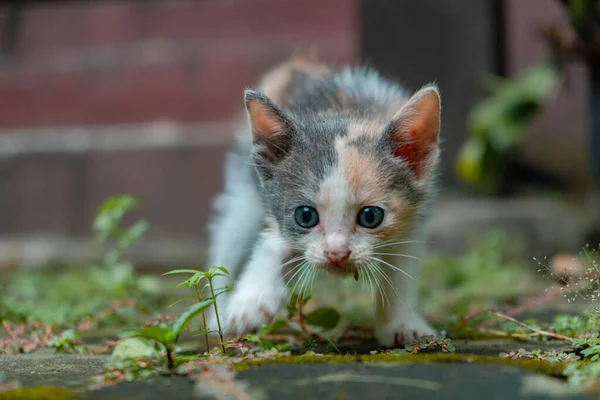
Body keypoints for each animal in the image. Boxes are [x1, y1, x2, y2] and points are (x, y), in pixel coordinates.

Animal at [206, 53, 440, 346]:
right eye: (305, 216)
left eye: (370, 216)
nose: (336, 253)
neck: (348, 114)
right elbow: (272, 244)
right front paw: (250, 304)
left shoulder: (414, 218)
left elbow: (401, 265)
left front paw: (402, 323)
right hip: (244, 196)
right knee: (228, 244)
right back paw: (216, 317)